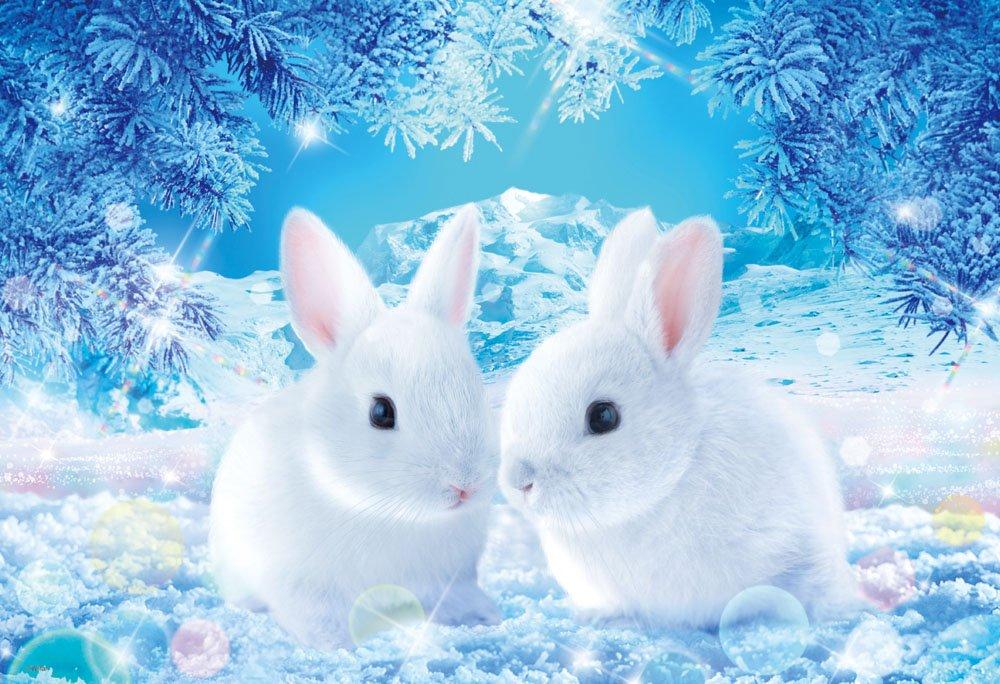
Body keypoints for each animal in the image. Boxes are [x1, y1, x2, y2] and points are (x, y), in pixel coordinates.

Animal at [210, 205, 500, 650]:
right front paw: (336, 646)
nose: (464, 485)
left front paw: (483, 616)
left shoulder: (449, 579)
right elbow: (316, 617)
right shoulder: (302, 586)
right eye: (381, 412)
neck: (392, 512)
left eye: (476, 391)